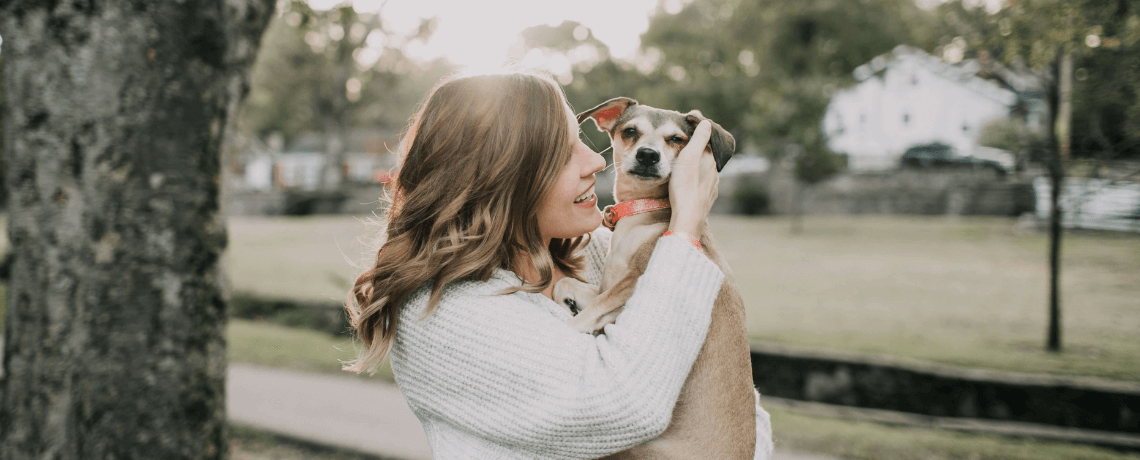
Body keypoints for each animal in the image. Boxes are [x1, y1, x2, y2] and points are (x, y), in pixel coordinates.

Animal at [551, 97, 756, 459]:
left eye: (676, 139)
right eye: (631, 132)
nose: (648, 155)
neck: (643, 210)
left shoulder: (634, 283)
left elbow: (592, 312)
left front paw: (574, 324)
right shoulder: (609, 284)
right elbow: (569, 285)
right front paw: (570, 301)